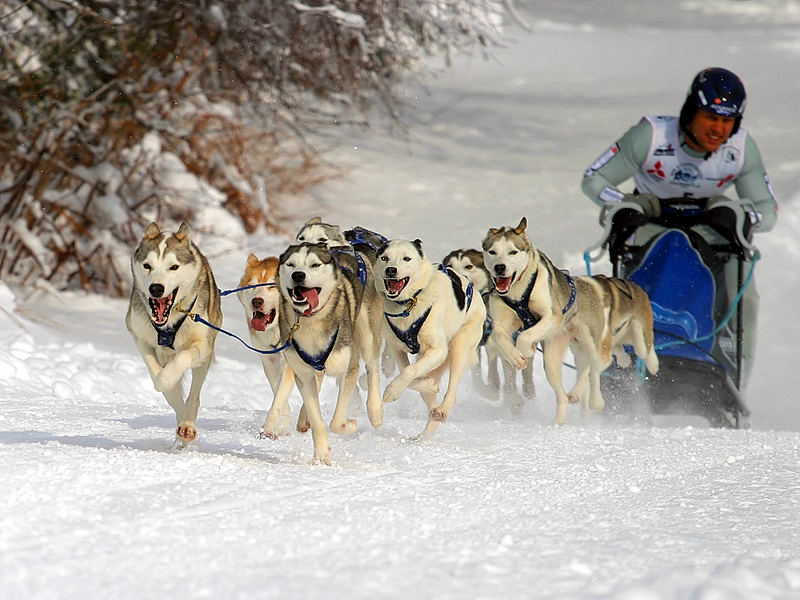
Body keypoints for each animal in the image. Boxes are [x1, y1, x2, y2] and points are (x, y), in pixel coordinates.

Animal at [127, 221, 222, 446]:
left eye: (174, 267)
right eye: (147, 266)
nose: (156, 288)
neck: (168, 323)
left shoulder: (202, 344)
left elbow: (181, 360)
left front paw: (168, 376)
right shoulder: (141, 338)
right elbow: (159, 380)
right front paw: (164, 381)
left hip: (204, 361)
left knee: (194, 395)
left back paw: (187, 426)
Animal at [278, 243, 384, 464]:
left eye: (315, 264)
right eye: (290, 264)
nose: (298, 275)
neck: (311, 321)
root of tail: (351, 247)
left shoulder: (348, 368)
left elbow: (336, 422)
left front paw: (351, 425)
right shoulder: (303, 375)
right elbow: (317, 420)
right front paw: (321, 456)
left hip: (367, 334)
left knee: (372, 367)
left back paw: (375, 410)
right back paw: (304, 419)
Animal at [374, 237, 484, 438]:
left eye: (406, 258)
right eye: (384, 258)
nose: (391, 270)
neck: (409, 304)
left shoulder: (438, 351)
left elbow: (409, 371)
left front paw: (392, 391)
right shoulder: (396, 348)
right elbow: (408, 372)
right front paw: (428, 384)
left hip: (459, 348)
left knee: (452, 389)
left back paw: (442, 409)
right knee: (430, 402)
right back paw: (425, 433)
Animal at [482, 218, 612, 424]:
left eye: (512, 251)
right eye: (492, 252)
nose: (500, 267)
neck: (518, 293)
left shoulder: (552, 316)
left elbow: (525, 336)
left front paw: (524, 350)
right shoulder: (501, 324)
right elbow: (499, 336)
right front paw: (515, 356)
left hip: (590, 341)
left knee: (594, 368)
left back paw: (594, 399)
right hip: (551, 361)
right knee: (563, 396)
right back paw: (558, 422)